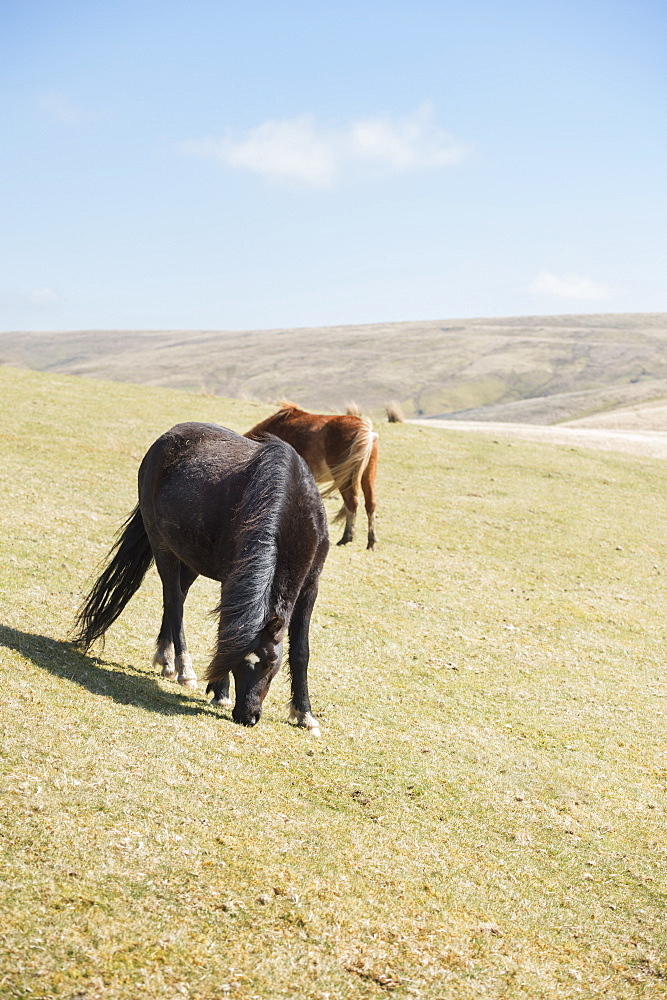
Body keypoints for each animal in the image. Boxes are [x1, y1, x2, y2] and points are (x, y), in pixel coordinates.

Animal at [72, 418, 330, 732]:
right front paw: (220, 692)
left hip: (190, 559)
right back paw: (183, 669)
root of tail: (167, 437)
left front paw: (305, 714)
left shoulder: (310, 586)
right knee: (174, 602)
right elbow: (225, 634)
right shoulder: (232, 580)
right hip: (163, 547)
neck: (292, 509)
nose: (247, 716)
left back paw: (166, 659)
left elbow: (301, 651)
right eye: (238, 664)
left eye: (270, 663)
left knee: (177, 598)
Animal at [248, 402, 378, 552]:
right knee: (370, 504)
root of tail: (366, 431)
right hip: (367, 474)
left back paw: (346, 538)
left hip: (344, 477)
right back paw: (370, 542)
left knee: (351, 502)